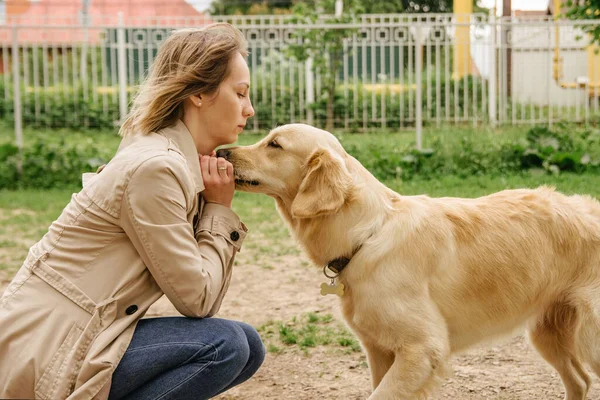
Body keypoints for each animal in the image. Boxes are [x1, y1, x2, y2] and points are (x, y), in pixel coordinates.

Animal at [218, 123, 600, 398]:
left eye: (275, 145)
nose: (221, 151)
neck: (367, 235)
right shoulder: (379, 350)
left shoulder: (423, 350)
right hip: (548, 333)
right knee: (579, 381)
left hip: (588, 339)